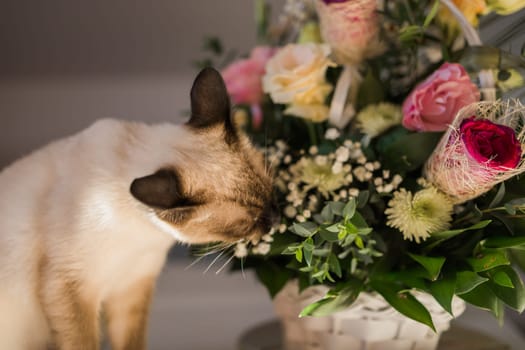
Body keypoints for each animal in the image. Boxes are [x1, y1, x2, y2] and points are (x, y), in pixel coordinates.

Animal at [0, 68, 276, 350]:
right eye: (247, 223)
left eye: (271, 191)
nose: (275, 218)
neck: (140, 234)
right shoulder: (71, 289)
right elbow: (84, 343)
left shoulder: (130, 288)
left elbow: (132, 342)